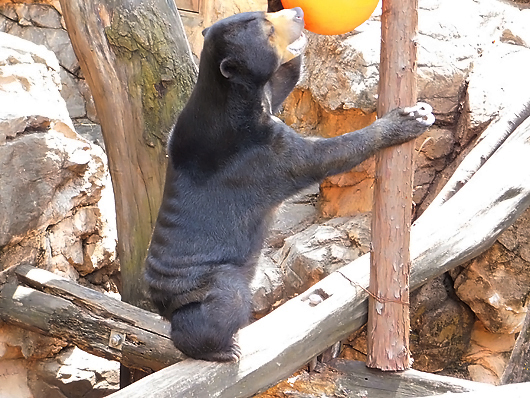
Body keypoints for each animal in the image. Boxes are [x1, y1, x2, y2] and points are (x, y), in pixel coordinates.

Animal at [142, 6, 432, 362]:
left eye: (265, 15)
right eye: (267, 30)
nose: (298, 13)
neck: (229, 95)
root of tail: (161, 302)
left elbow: (282, 82)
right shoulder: (258, 151)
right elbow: (320, 157)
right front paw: (410, 118)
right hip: (210, 280)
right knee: (225, 303)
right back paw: (222, 349)